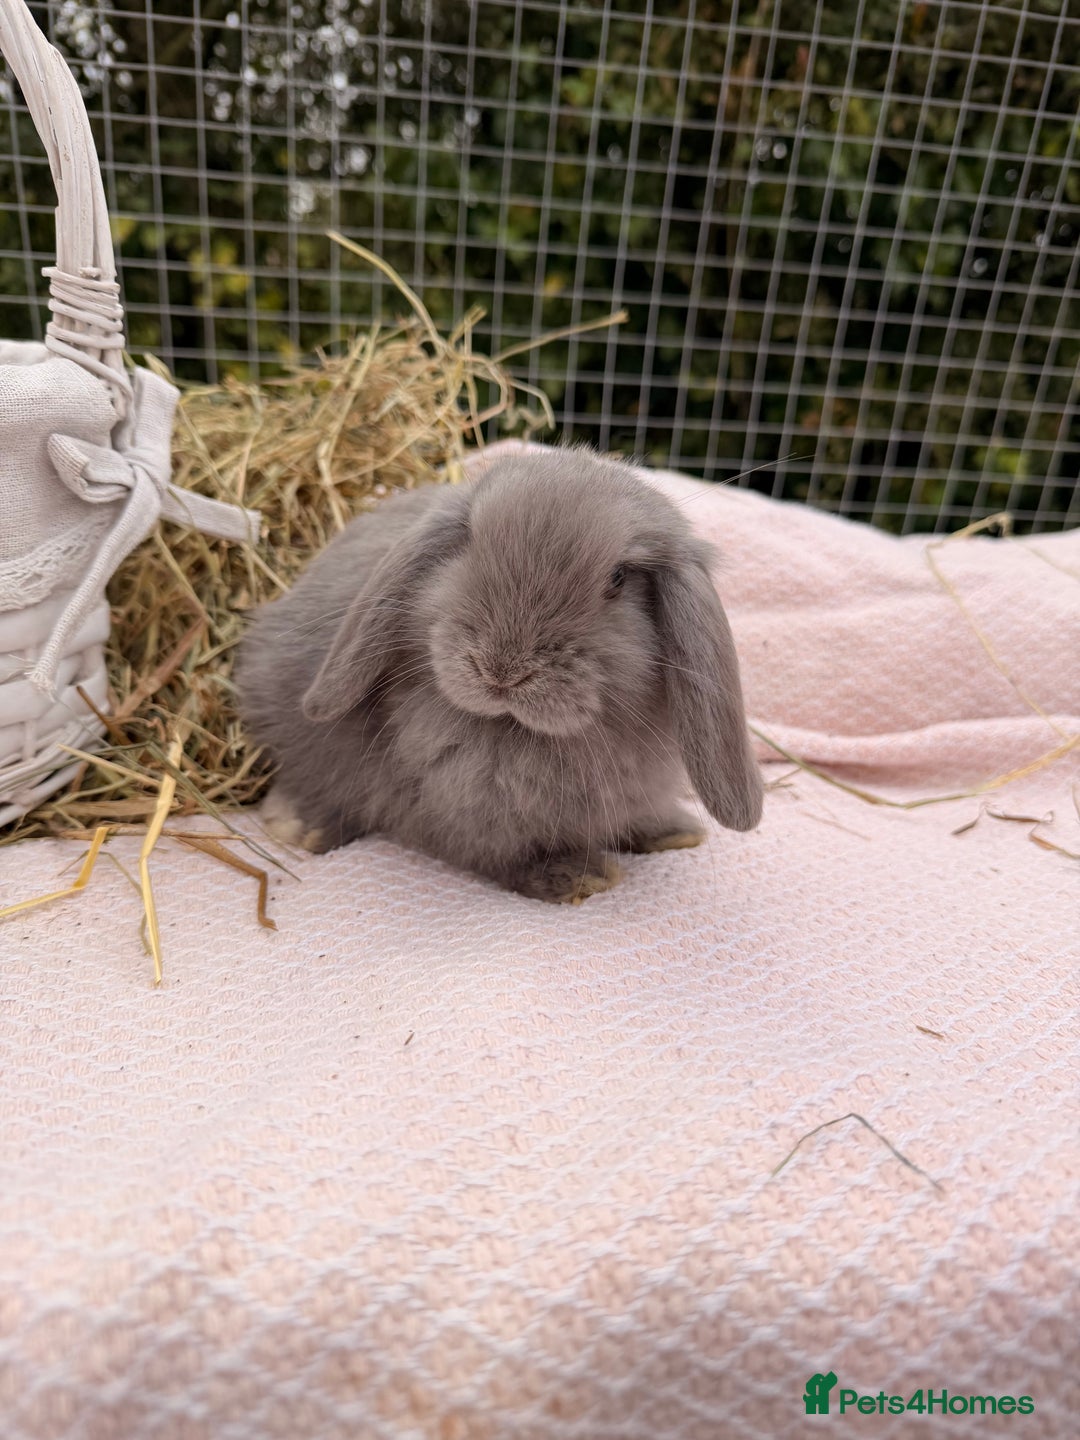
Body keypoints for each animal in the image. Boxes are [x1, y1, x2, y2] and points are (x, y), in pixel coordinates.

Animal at [236, 446, 763, 903]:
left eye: (617, 579)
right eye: (468, 543)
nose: (502, 669)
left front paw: (672, 832)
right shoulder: (460, 811)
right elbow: (499, 855)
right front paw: (578, 876)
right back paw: (300, 825)